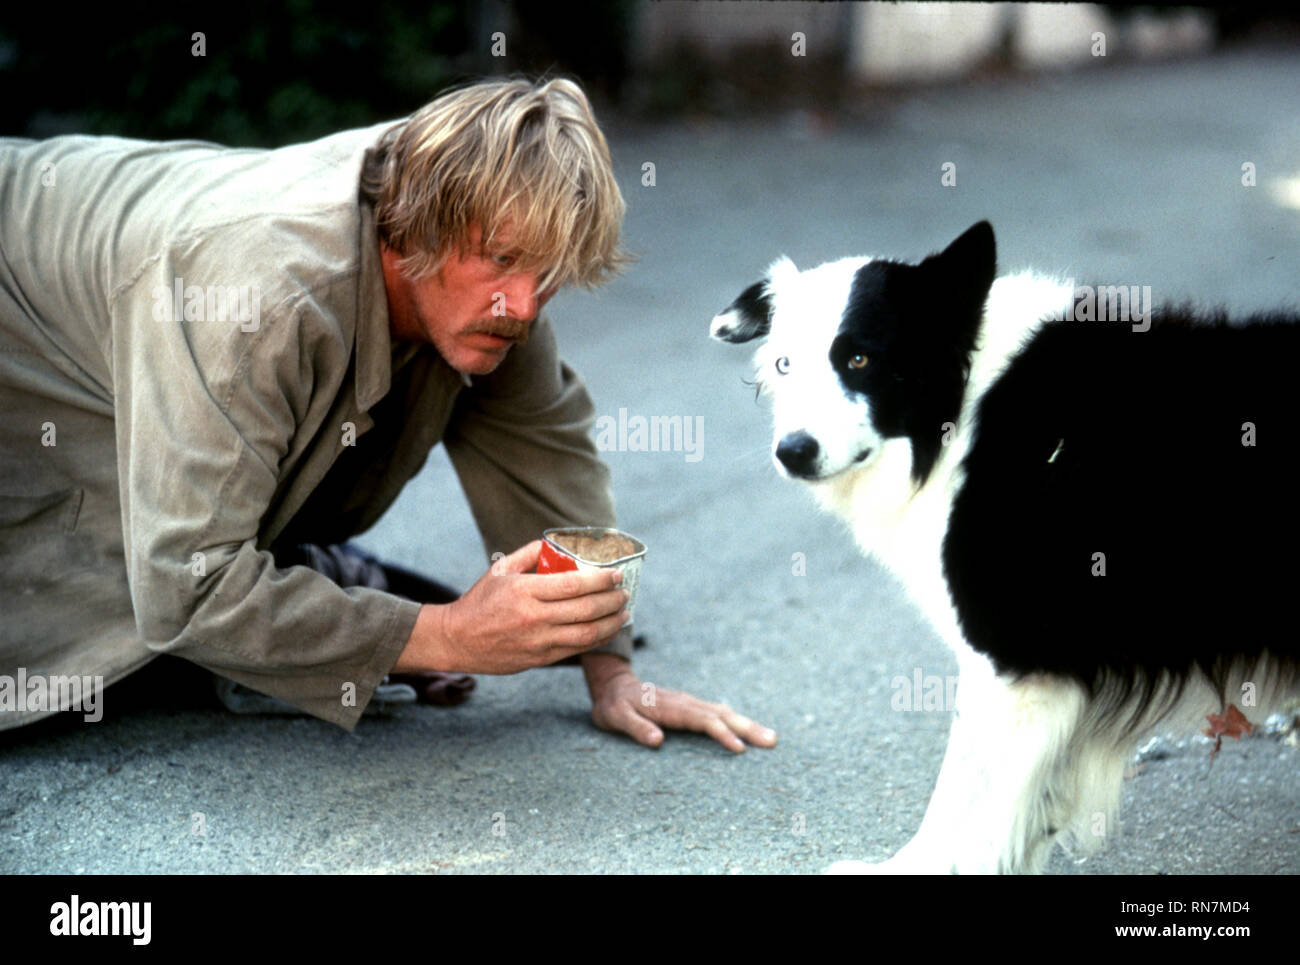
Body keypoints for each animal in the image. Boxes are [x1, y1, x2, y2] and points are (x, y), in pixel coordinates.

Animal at [712, 224, 1300, 879]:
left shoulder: (1013, 660)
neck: (960, 411)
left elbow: (971, 791)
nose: (792, 452)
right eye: (785, 364)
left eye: (860, 359)